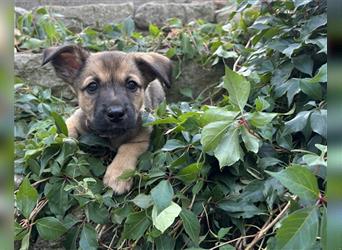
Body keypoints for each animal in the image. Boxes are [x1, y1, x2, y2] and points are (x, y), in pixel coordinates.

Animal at [42, 44, 171, 193]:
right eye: (92, 86)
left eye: (131, 84)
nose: (116, 114)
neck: (111, 135)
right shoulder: (74, 119)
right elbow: (66, 133)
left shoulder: (141, 138)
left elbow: (127, 149)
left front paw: (118, 174)